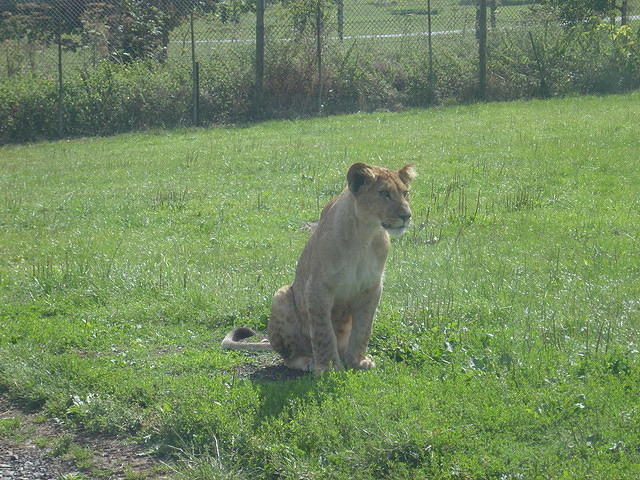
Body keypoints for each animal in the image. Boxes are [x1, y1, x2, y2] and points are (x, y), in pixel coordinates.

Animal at [222, 163, 418, 374]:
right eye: (384, 193)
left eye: (405, 193)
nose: (407, 216)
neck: (365, 234)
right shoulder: (317, 287)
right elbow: (323, 331)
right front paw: (328, 367)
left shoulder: (372, 287)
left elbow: (363, 328)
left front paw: (358, 361)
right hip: (281, 295)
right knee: (289, 357)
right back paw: (308, 361)